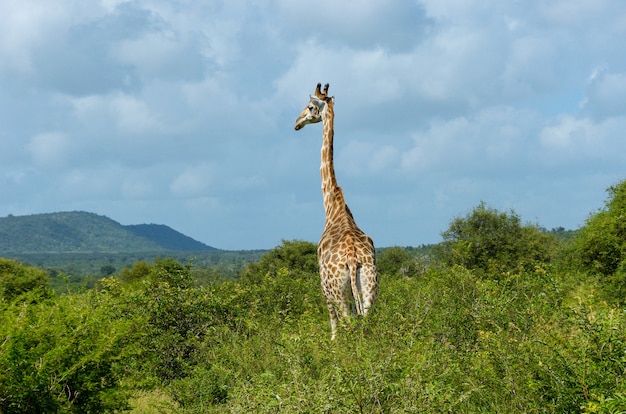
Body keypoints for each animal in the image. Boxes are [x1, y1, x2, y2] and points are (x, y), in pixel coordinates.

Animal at [292, 82, 376, 338]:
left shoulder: (324, 287)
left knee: (347, 323)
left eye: (310, 107)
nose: (296, 122)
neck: (333, 206)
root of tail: (352, 258)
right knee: (367, 322)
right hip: (369, 287)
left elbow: (333, 329)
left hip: (338, 291)